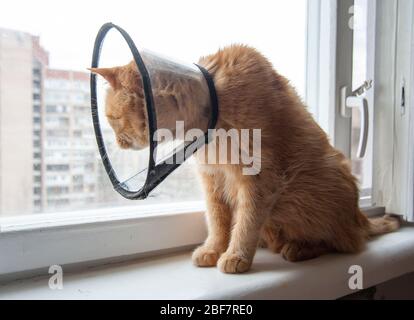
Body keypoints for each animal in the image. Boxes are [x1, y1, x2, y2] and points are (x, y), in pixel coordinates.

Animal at [91, 45, 402, 276]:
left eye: (112, 118)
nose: (116, 143)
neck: (215, 103)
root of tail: (360, 216)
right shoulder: (213, 181)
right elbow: (218, 222)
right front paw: (214, 249)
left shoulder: (260, 179)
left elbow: (246, 222)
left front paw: (236, 255)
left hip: (318, 189)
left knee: (342, 242)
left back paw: (300, 248)